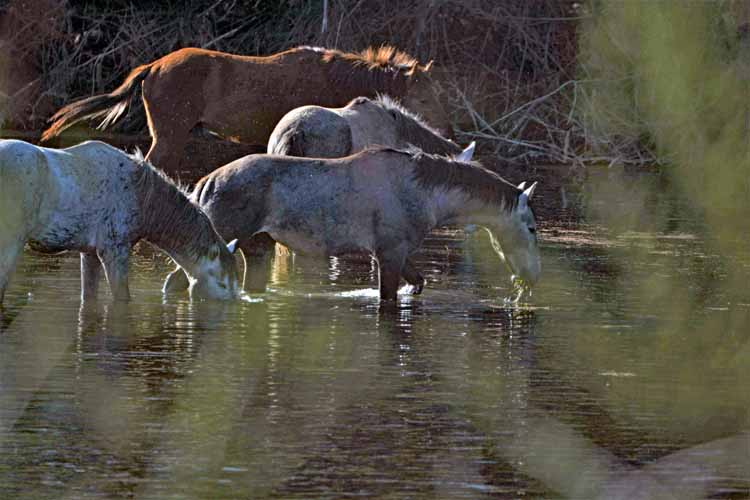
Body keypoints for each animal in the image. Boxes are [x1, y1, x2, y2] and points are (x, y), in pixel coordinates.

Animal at [0, 140, 241, 304]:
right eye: (222, 283)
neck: (144, 200)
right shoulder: (114, 249)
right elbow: (122, 297)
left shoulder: (89, 252)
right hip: (10, 241)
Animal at [164, 147, 540, 300]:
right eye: (532, 228)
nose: (530, 277)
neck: (426, 194)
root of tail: (206, 183)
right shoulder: (389, 253)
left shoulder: (398, 253)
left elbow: (419, 282)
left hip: (256, 248)